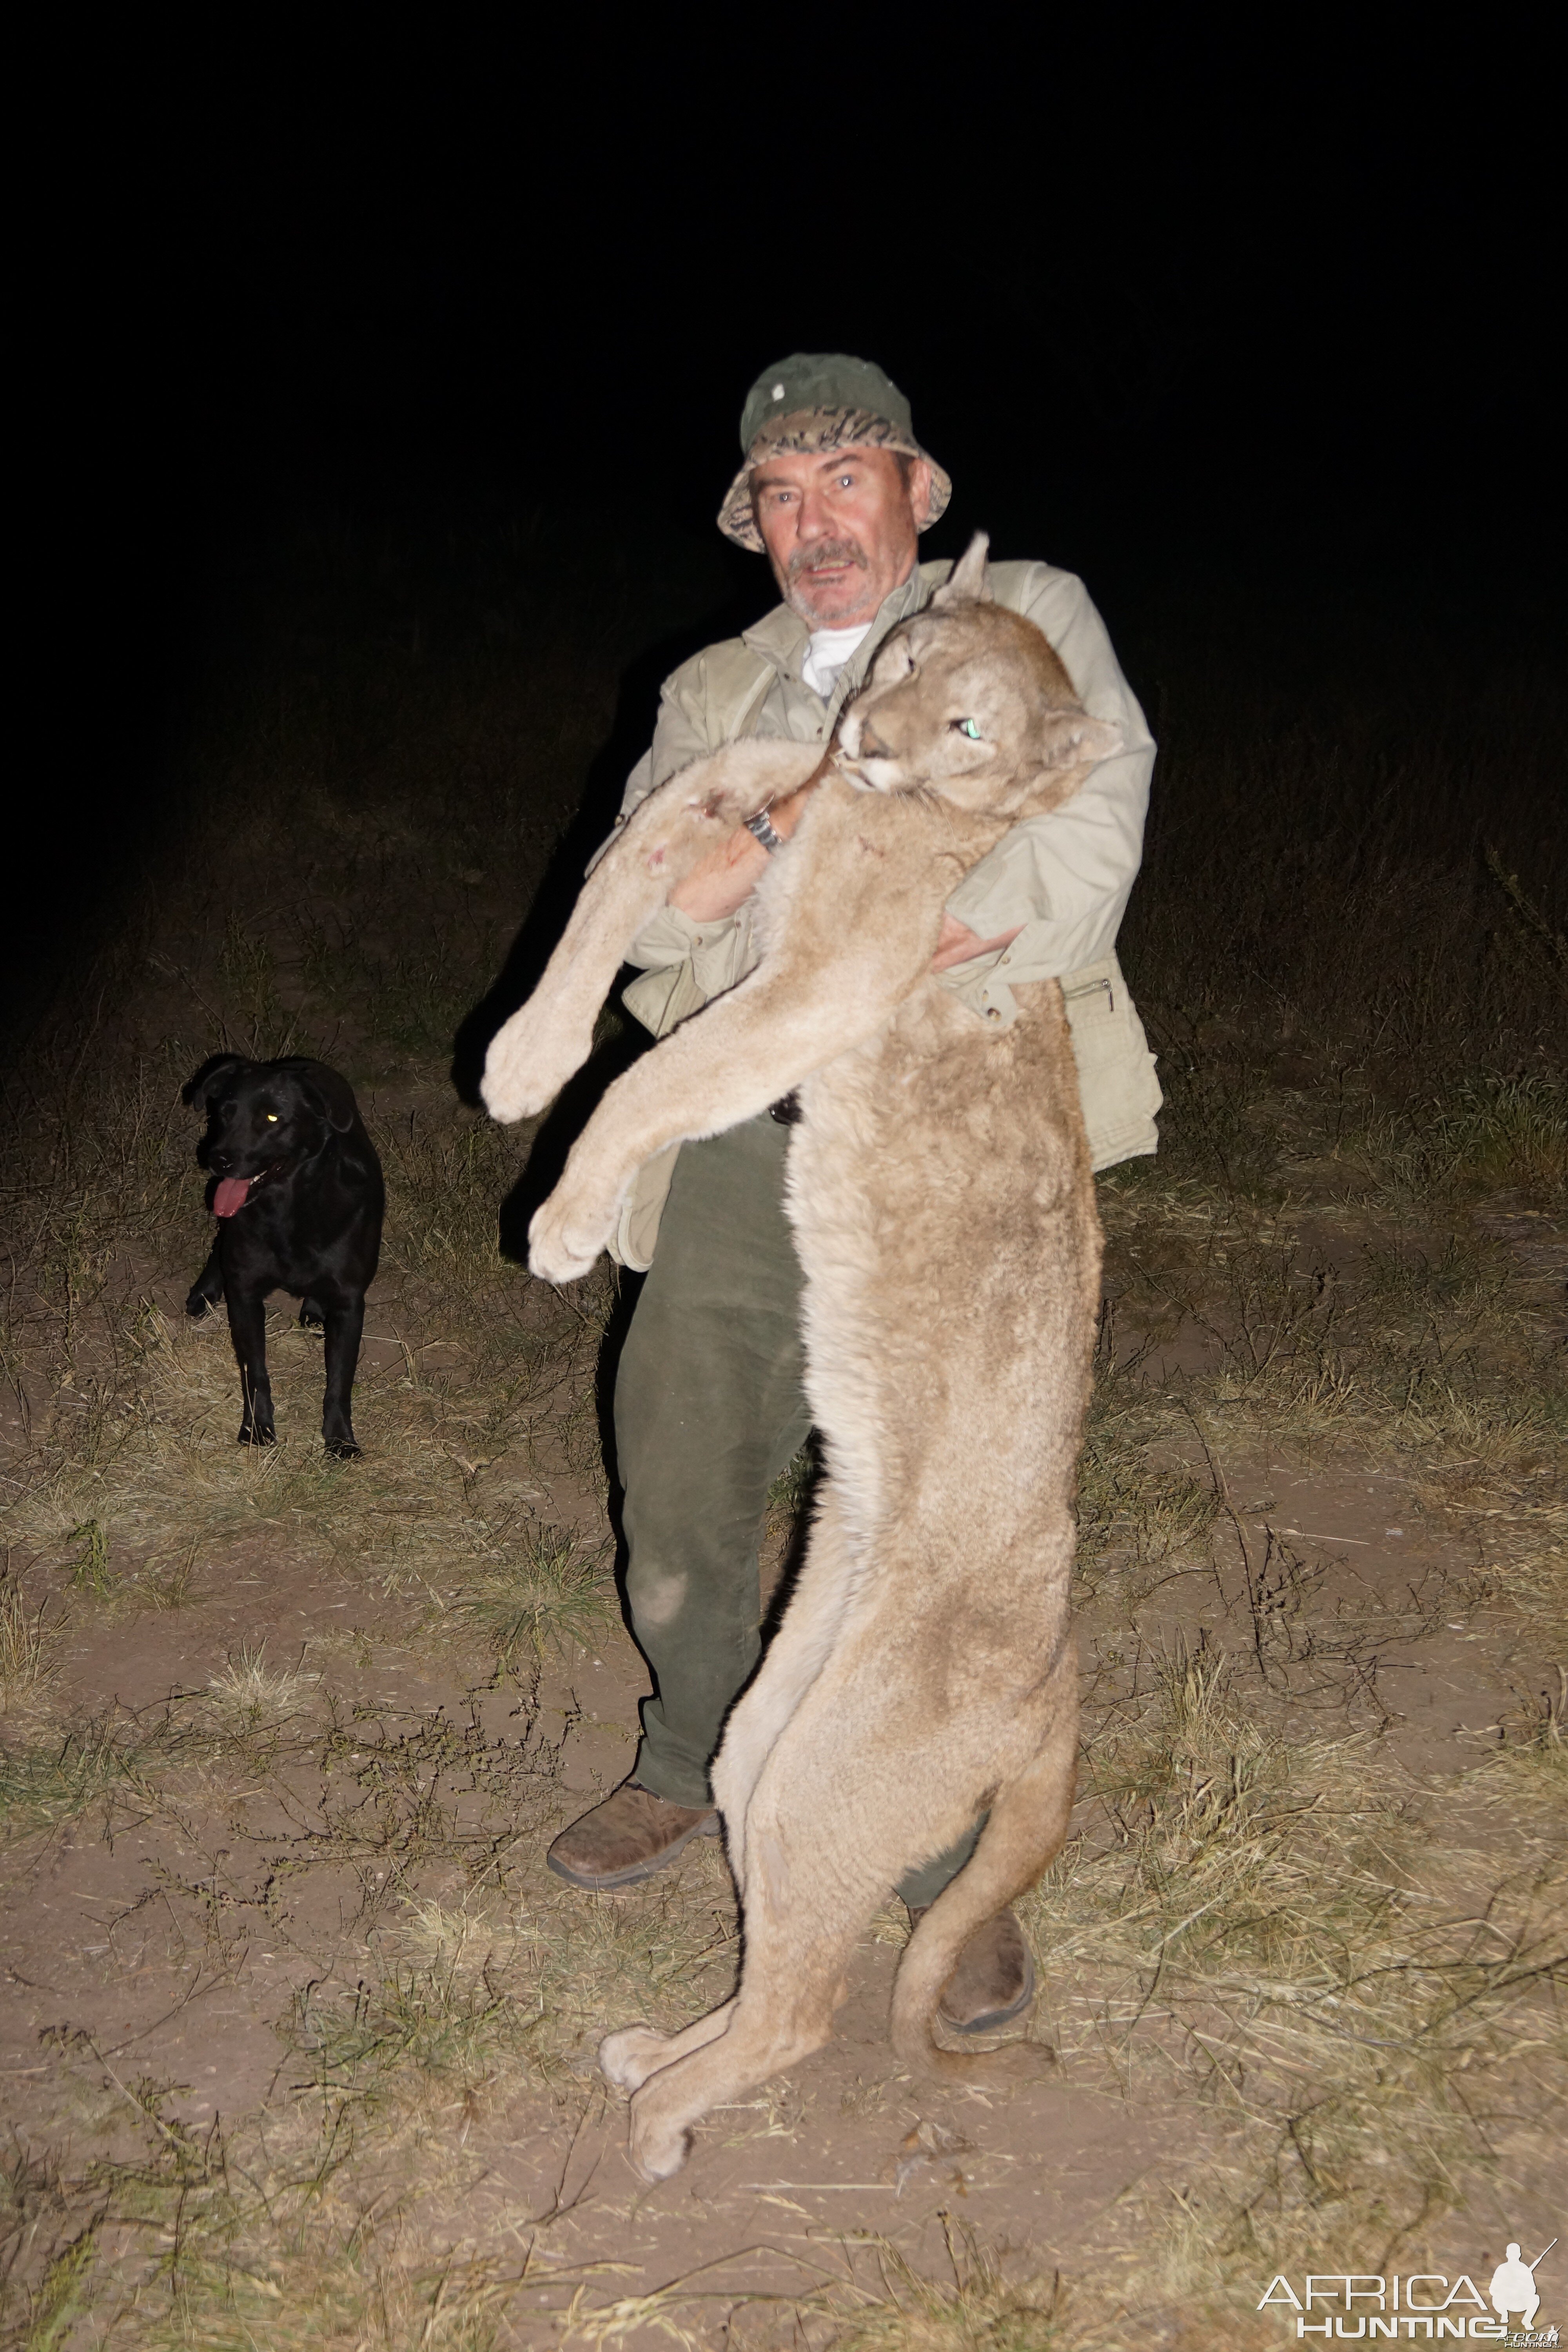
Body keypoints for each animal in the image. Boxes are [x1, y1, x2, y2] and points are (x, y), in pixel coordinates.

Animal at [184, 1054, 385, 1449]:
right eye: (225, 1113)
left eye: (272, 1118)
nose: (219, 1159)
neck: (289, 1209)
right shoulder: (245, 1296)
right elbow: (256, 1374)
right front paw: (257, 1428)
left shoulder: (349, 1304)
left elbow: (340, 1382)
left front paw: (340, 1439)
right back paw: (204, 1292)